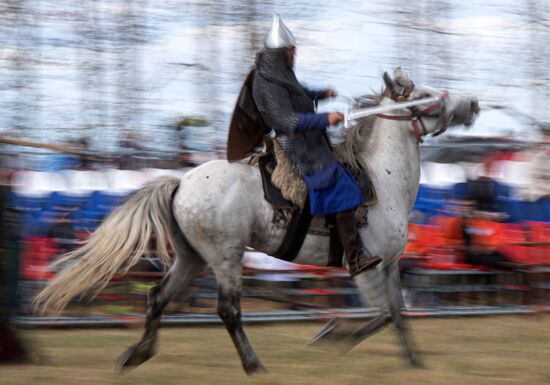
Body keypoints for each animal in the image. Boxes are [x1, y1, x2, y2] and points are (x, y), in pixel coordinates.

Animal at [36, 68, 480, 372]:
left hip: (192, 257)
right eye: (424, 95)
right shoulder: (366, 268)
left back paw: (137, 354)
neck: (382, 179)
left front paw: (414, 361)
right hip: (225, 256)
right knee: (228, 311)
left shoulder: (390, 266)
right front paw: (329, 336)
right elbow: (382, 314)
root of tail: (181, 182)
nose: (473, 104)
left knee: (157, 297)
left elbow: (398, 314)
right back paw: (253, 364)